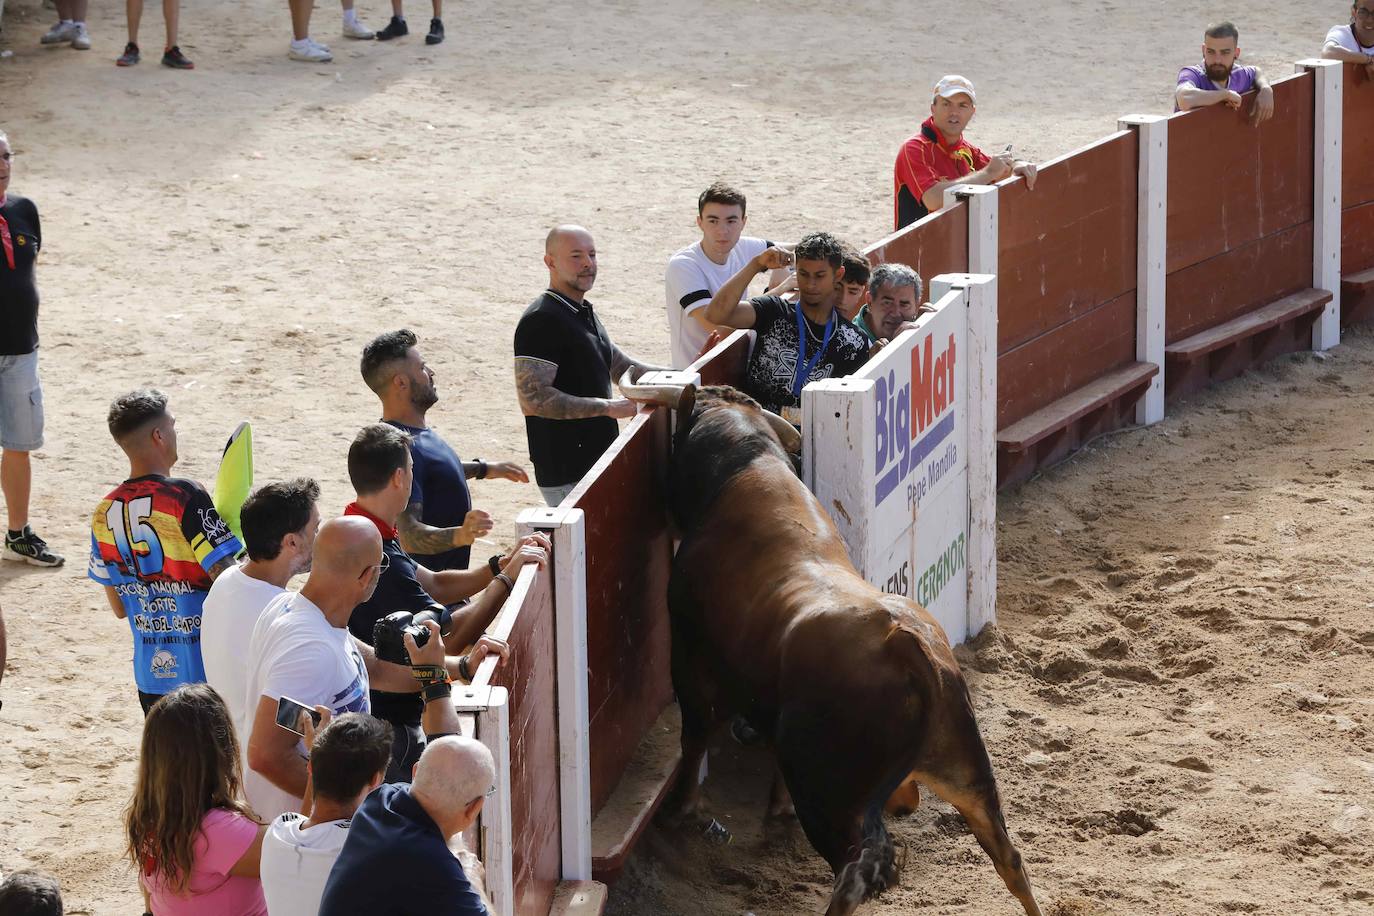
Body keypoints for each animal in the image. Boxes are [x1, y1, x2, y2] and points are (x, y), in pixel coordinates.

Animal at [623, 373, 1038, 916]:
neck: (744, 464)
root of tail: (909, 647)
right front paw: (773, 811)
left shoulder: (690, 656)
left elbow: (694, 738)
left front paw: (681, 811)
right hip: (967, 772)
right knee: (1009, 858)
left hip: (829, 797)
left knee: (855, 870)